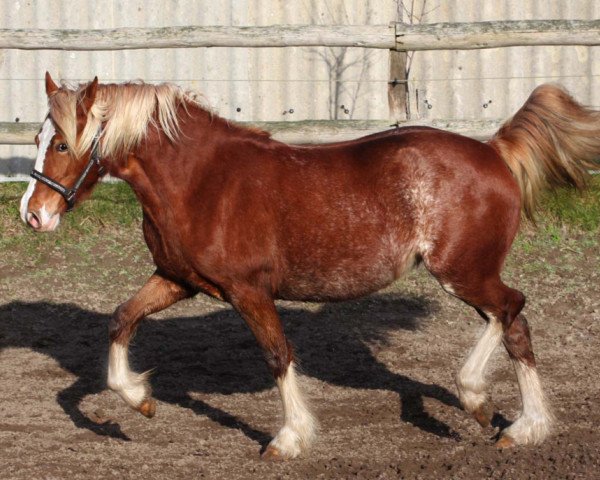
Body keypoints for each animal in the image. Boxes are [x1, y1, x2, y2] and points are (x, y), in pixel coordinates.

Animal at [19, 73, 600, 460]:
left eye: (63, 143)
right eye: (38, 139)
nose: (33, 214)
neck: (201, 180)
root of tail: (494, 151)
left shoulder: (249, 291)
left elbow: (279, 355)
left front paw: (289, 438)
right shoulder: (179, 280)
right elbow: (120, 319)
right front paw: (139, 402)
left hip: (463, 273)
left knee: (511, 309)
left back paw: (482, 400)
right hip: (471, 275)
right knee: (515, 325)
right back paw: (517, 425)